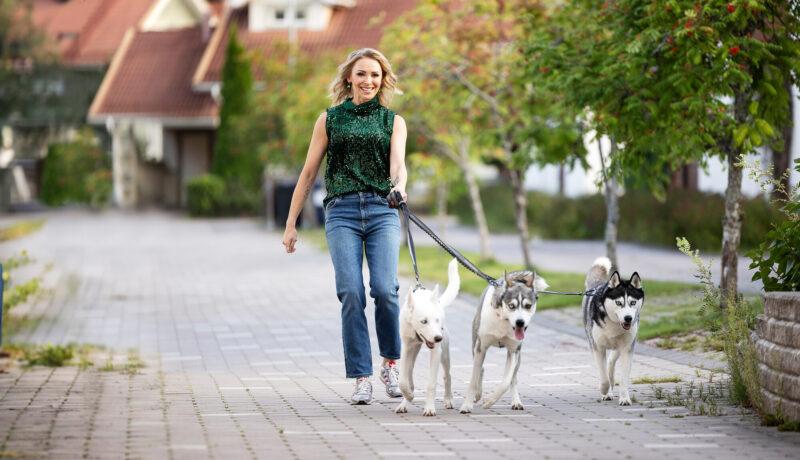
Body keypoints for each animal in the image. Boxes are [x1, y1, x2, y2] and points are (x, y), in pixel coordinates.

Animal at [396, 258, 460, 416]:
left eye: (437, 320)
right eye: (424, 321)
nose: (438, 338)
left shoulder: (436, 351)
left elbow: (431, 384)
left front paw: (429, 408)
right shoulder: (406, 348)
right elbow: (402, 381)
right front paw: (408, 396)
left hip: (444, 354)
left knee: (447, 375)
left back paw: (448, 399)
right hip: (413, 352)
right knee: (410, 374)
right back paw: (405, 402)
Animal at [460, 270, 548, 414]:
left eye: (528, 306)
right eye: (511, 306)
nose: (520, 322)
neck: (504, 320)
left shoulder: (513, 351)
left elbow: (507, 381)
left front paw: (489, 401)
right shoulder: (480, 347)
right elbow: (473, 379)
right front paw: (467, 405)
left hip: (518, 355)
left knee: (513, 378)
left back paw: (516, 401)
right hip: (475, 345)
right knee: (480, 369)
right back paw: (477, 394)